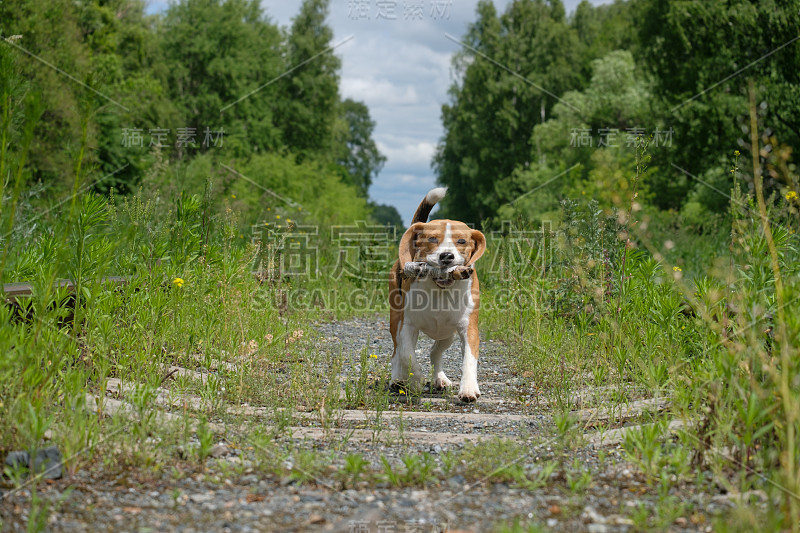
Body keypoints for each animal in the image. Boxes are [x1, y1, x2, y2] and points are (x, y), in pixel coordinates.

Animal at [390, 187, 488, 400]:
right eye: (432, 239)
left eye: (461, 241)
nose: (447, 256)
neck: (440, 290)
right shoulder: (408, 326)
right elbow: (407, 354)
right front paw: (416, 380)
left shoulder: (468, 328)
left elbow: (469, 358)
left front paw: (469, 388)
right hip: (395, 320)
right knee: (396, 352)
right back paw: (397, 379)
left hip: (447, 333)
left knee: (435, 352)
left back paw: (440, 379)